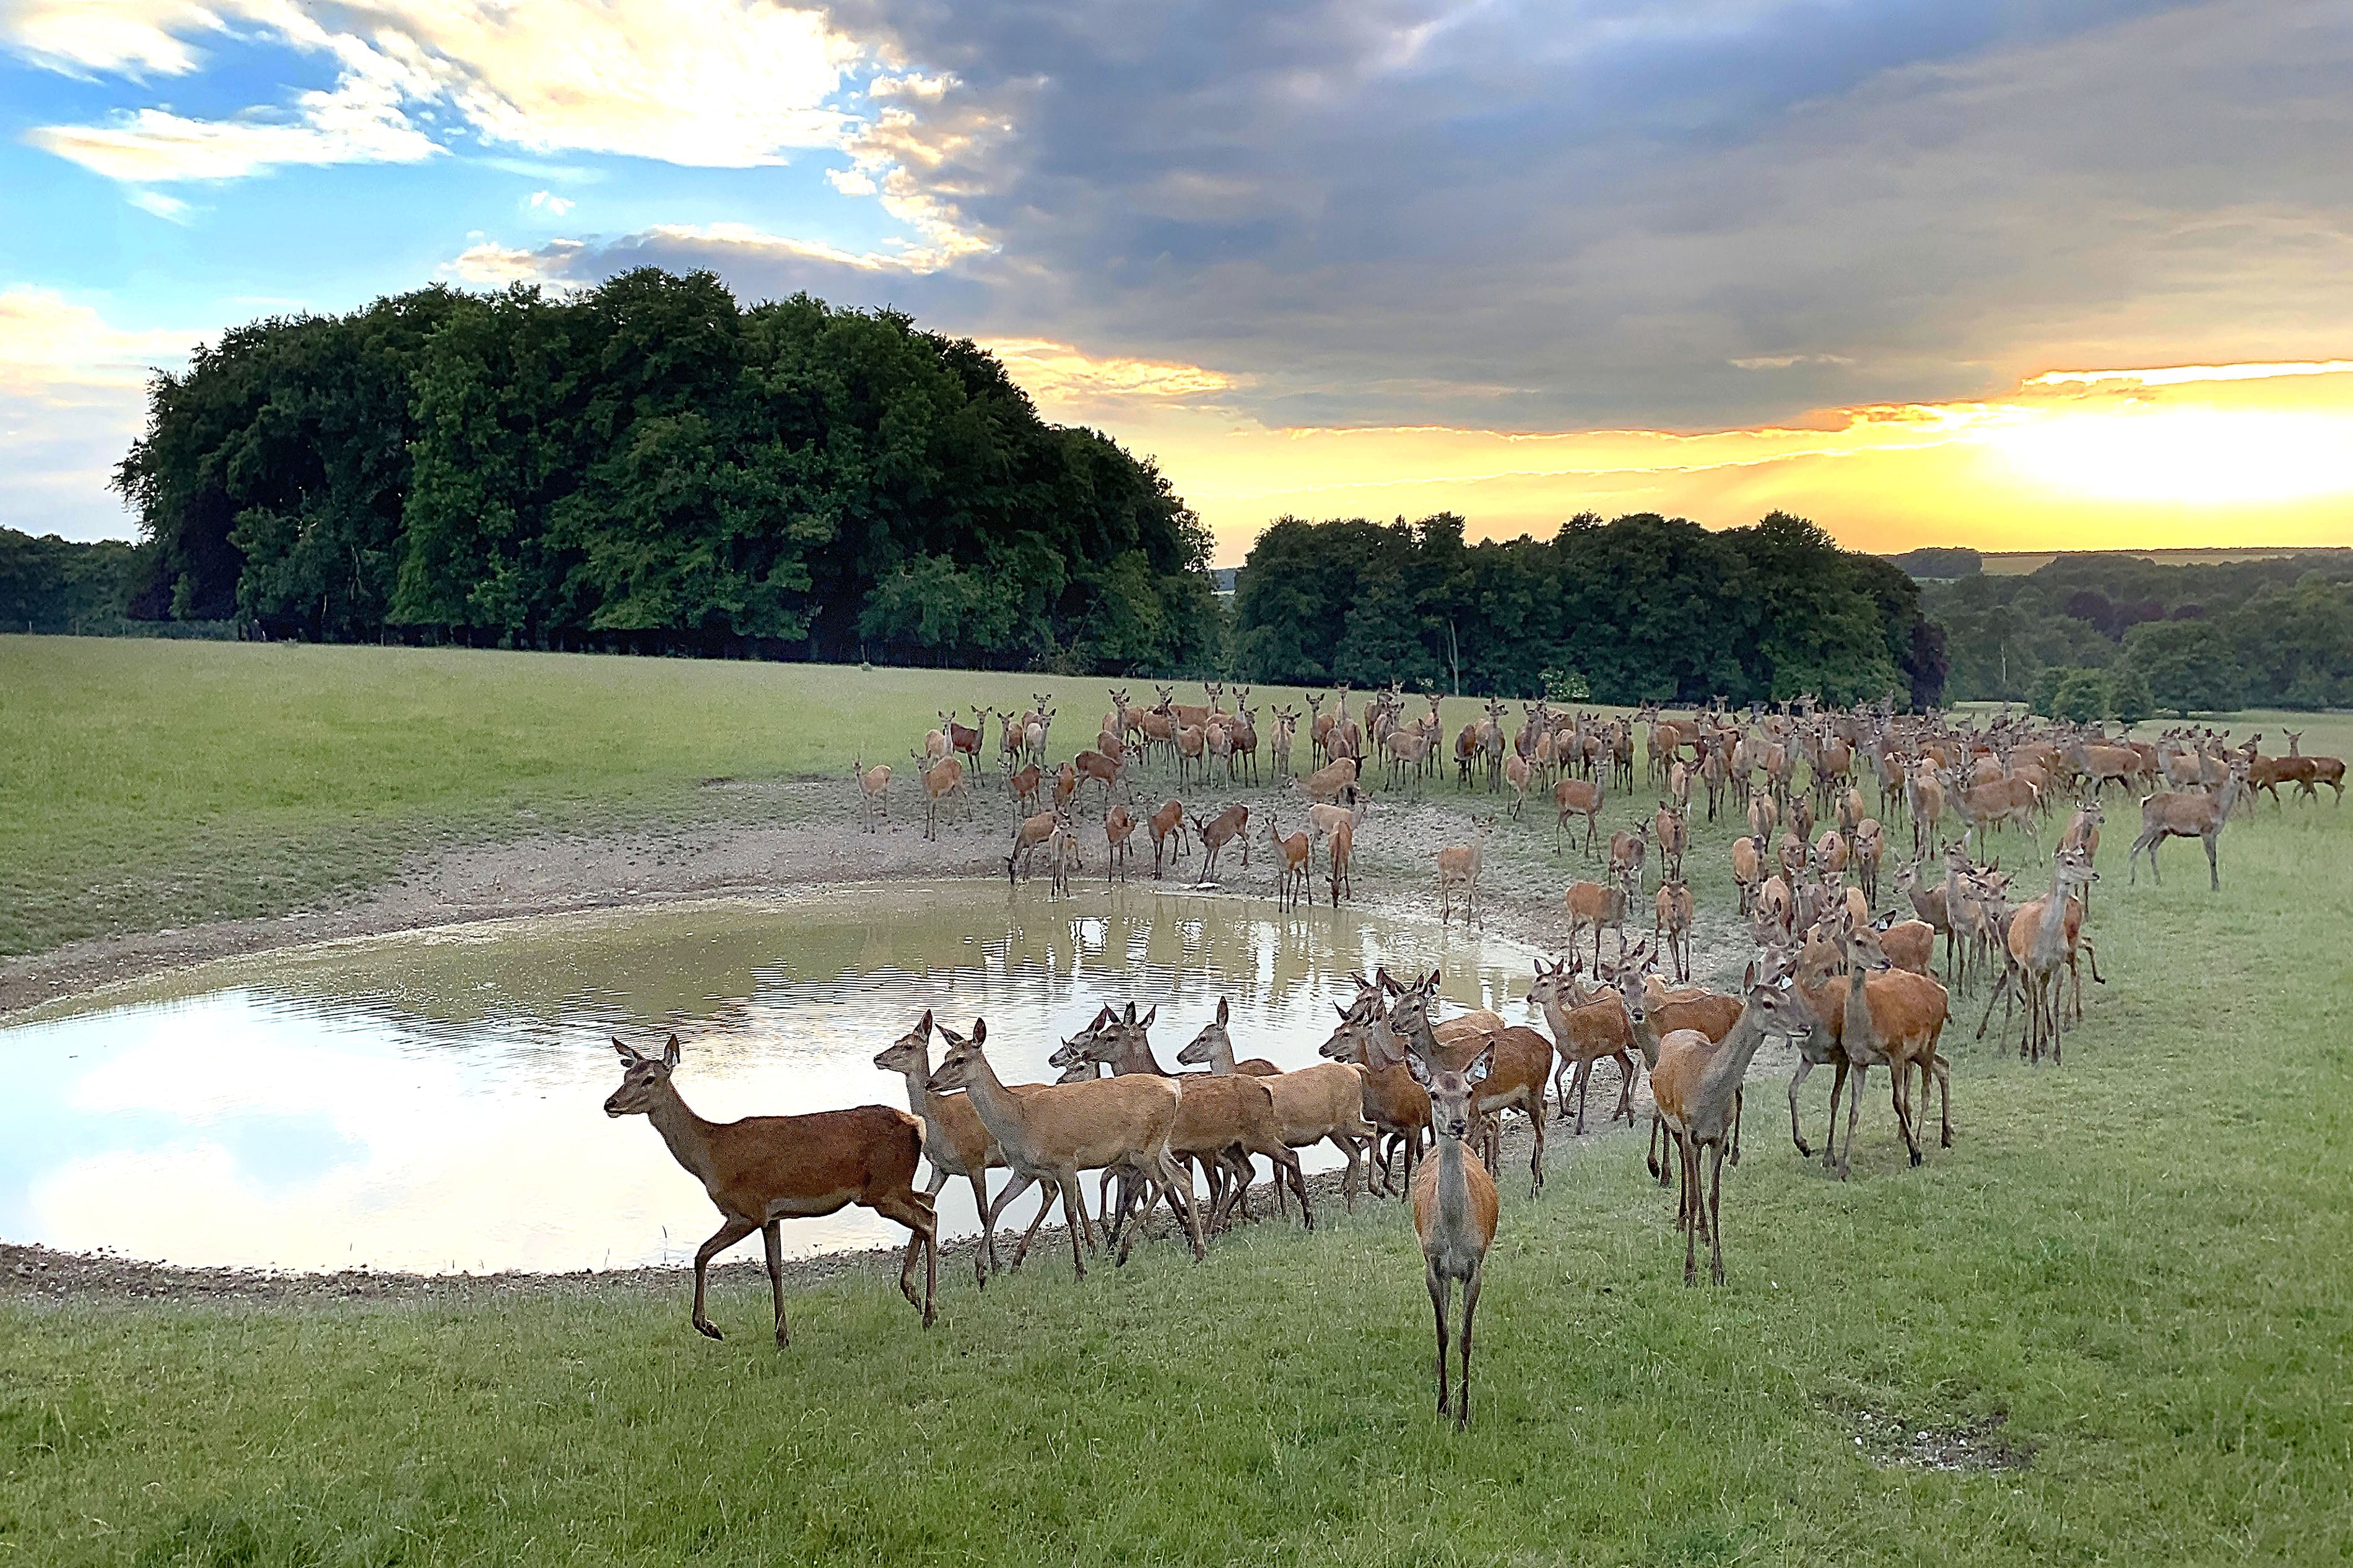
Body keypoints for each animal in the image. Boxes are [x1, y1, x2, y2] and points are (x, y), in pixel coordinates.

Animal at [606, 1034, 937, 1342]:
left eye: (649, 1078)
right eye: (626, 1075)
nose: (610, 1103)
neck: (711, 1155)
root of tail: (917, 1125)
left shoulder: (746, 1211)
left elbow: (701, 1254)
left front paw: (708, 1326)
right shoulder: (771, 1216)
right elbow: (775, 1268)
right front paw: (781, 1336)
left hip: (883, 1189)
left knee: (928, 1220)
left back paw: (929, 1312)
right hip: (893, 1187)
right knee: (928, 1201)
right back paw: (912, 1293)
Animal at [926, 1017, 1202, 1280]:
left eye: (960, 1060)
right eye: (946, 1056)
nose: (930, 1083)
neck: (1020, 1121)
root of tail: (1175, 1090)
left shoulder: (1066, 1161)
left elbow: (1070, 1213)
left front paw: (1081, 1269)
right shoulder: (1024, 1171)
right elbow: (997, 1204)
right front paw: (981, 1270)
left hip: (1144, 1148)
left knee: (1161, 1183)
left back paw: (1124, 1251)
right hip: (1160, 1146)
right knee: (1182, 1177)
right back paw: (1198, 1249)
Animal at [1437, 816, 1497, 926]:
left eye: (1488, 824)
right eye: (1480, 825)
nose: (1490, 831)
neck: (1474, 862)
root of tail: (1439, 855)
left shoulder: (1475, 877)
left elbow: (1470, 896)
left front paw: (1469, 921)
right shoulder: (1468, 876)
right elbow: (1475, 896)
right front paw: (1481, 925)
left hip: (1452, 877)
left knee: (1446, 889)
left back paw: (1447, 915)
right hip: (1443, 872)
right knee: (1442, 890)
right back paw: (1444, 918)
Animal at [2128, 759, 2249, 890]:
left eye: (2245, 768)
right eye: (2232, 768)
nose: (2241, 777)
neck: (2218, 807)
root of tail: (2145, 801)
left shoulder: (2214, 833)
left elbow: (2214, 857)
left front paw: (2216, 885)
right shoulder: (2206, 830)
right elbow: (2212, 858)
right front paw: (2215, 887)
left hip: (2163, 831)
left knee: (2151, 847)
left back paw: (2158, 881)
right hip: (2151, 825)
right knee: (2135, 845)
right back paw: (2131, 881)